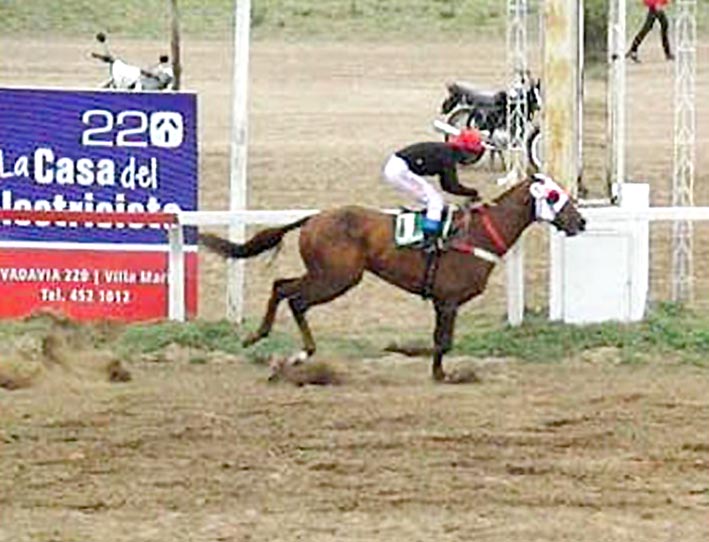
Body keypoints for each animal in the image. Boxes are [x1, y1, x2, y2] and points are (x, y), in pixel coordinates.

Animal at [201, 174, 588, 382]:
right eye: (555, 195)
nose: (581, 221)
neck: (478, 234)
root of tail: (313, 218)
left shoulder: (444, 303)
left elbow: (442, 343)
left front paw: (439, 374)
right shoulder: (447, 300)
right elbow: (441, 343)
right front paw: (399, 348)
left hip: (326, 274)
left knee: (282, 286)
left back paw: (267, 340)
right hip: (338, 277)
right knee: (294, 298)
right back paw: (291, 352)